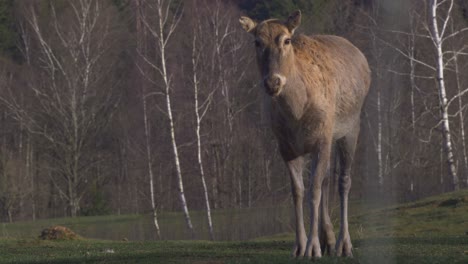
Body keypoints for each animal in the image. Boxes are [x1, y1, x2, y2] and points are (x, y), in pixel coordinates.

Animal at [239, 10, 372, 258]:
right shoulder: (287, 146)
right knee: (327, 178)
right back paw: (328, 238)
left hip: (350, 127)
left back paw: (343, 244)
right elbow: (298, 191)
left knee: (343, 180)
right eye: (257, 42)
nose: (273, 82)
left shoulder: (322, 139)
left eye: (286, 40)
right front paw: (300, 246)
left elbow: (314, 191)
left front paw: (313, 247)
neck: (296, 112)